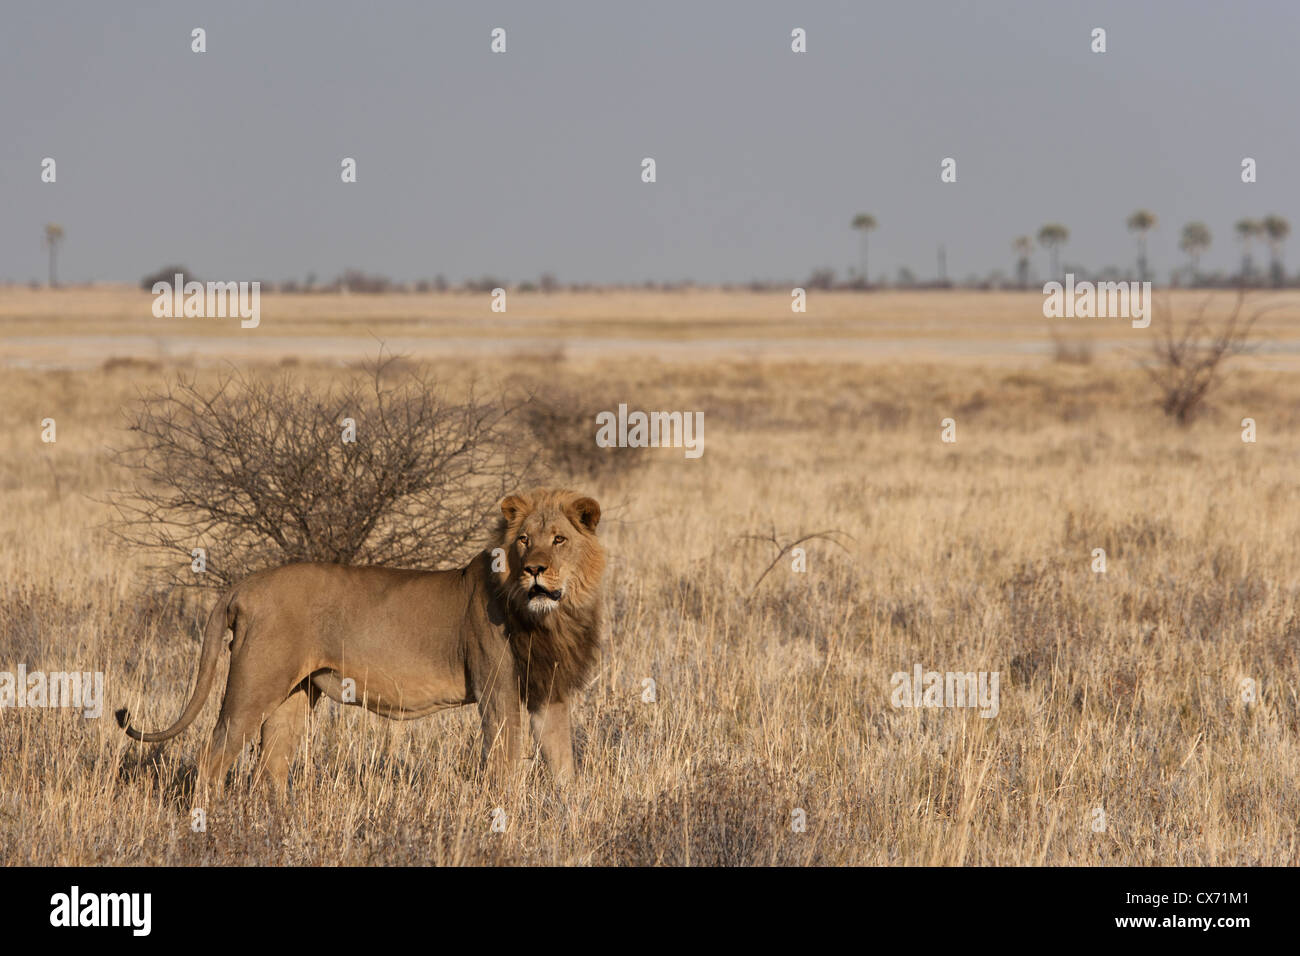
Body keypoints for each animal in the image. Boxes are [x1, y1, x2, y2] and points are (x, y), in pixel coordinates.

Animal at [116, 486, 603, 790]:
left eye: (559, 539)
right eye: (523, 540)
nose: (534, 569)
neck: (549, 617)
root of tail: (244, 585)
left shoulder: (549, 694)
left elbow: (565, 768)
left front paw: (567, 818)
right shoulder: (496, 691)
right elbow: (505, 767)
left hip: (295, 694)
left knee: (270, 768)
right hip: (253, 687)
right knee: (213, 759)